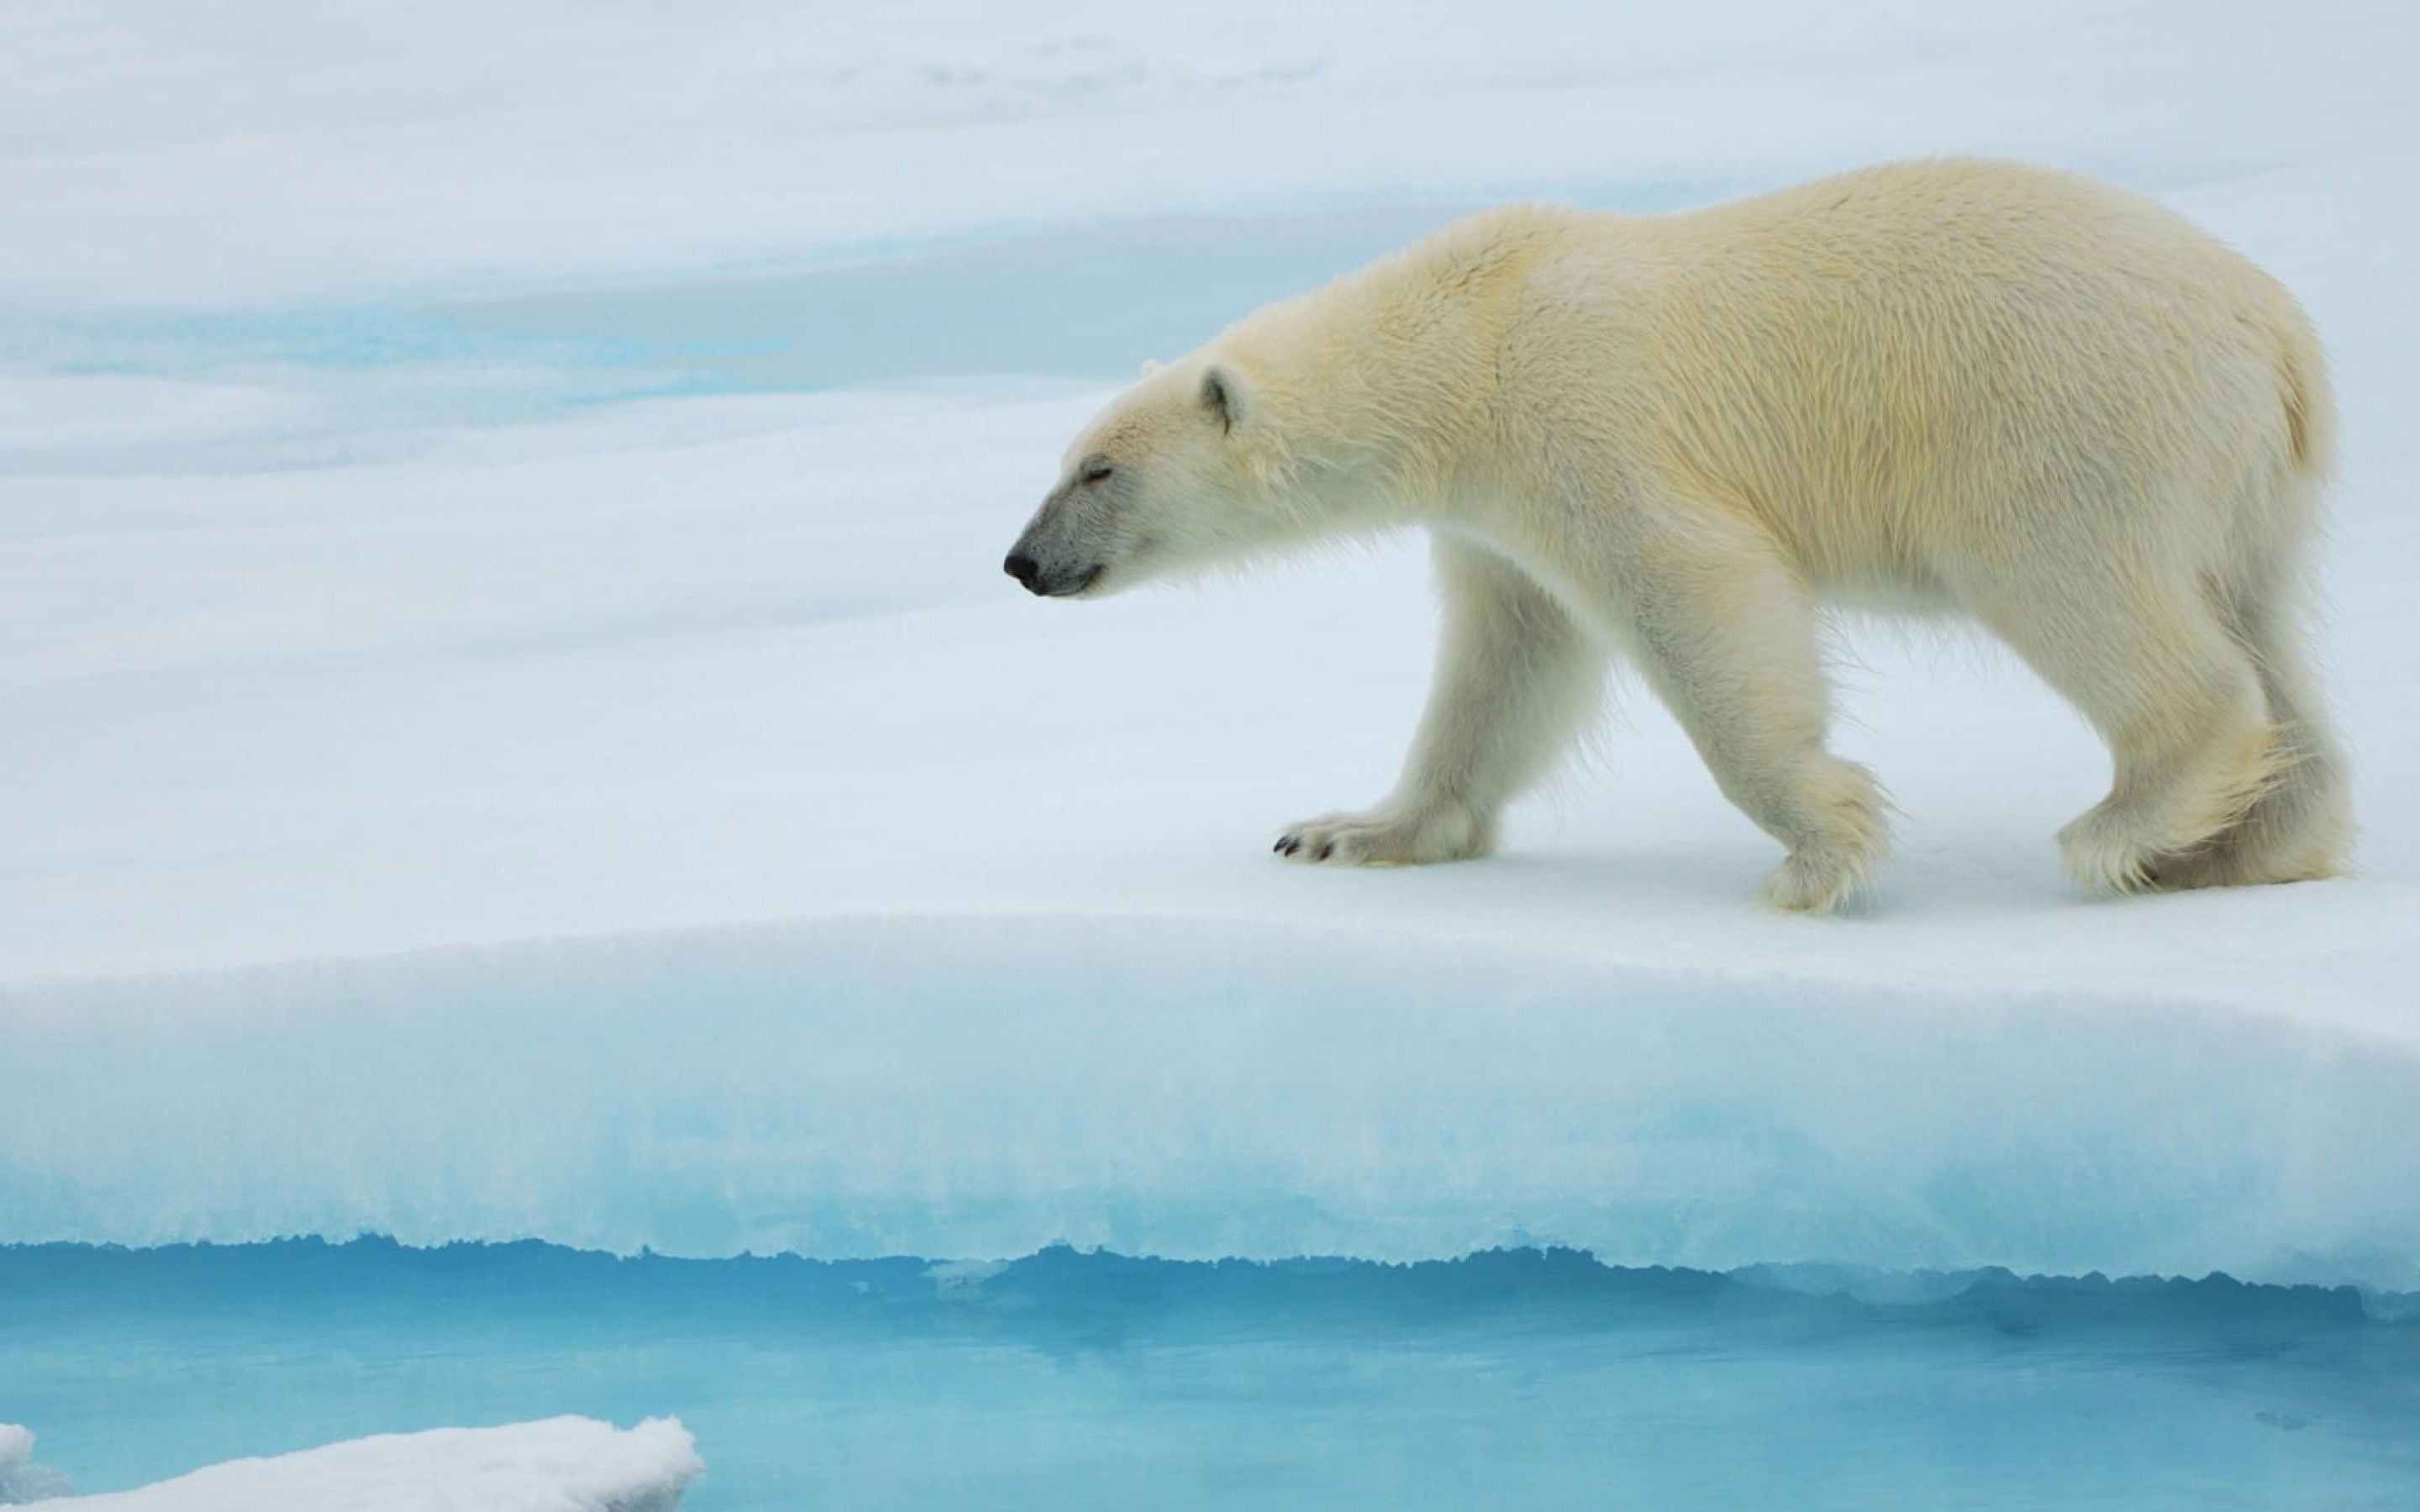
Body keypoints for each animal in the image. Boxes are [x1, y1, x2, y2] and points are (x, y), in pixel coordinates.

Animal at [1003, 158, 2349, 912]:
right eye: (1064, 462)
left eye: (1099, 469)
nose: (1021, 563)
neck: (1465, 339)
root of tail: (2277, 329)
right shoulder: (1495, 513)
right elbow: (1506, 664)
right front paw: (1344, 831)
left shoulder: (1583, 418)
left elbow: (1694, 595)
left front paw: (1820, 850)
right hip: (2243, 484)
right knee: (2264, 627)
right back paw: (2248, 845)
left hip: (2062, 421)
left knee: (2091, 597)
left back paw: (2126, 826)